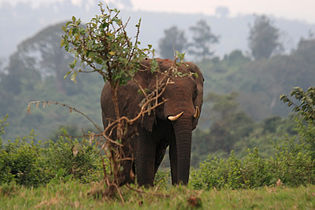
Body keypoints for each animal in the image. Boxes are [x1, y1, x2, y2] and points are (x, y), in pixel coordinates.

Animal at [101, 57, 205, 187]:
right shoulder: (138, 106)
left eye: (195, 92)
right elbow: (145, 152)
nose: (182, 186)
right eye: (160, 90)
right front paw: (145, 188)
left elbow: (175, 149)